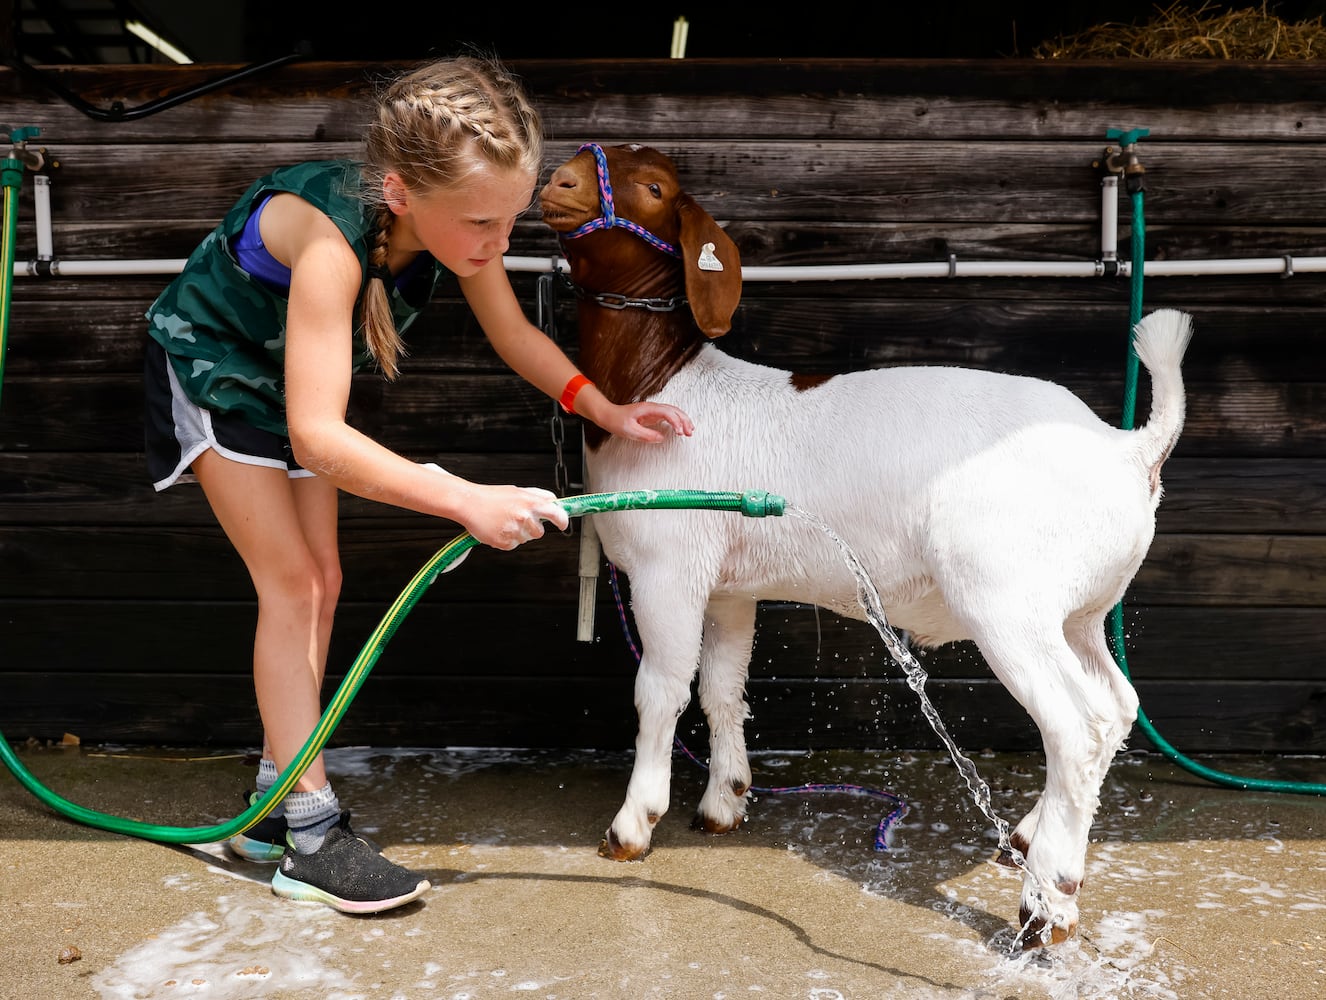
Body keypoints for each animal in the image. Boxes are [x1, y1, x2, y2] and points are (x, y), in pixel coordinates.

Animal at [535, 138, 1193, 944]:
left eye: (655, 188)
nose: (557, 182)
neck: (661, 387)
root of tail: (1127, 449)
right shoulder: (729, 585)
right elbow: (722, 687)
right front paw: (724, 801)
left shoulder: (670, 570)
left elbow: (659, 691)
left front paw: (631, 826)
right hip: (1079, 609)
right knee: (1117, 705)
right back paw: (1029, 835)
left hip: (1007, 599)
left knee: (1077, 726)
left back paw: (1048, 903)